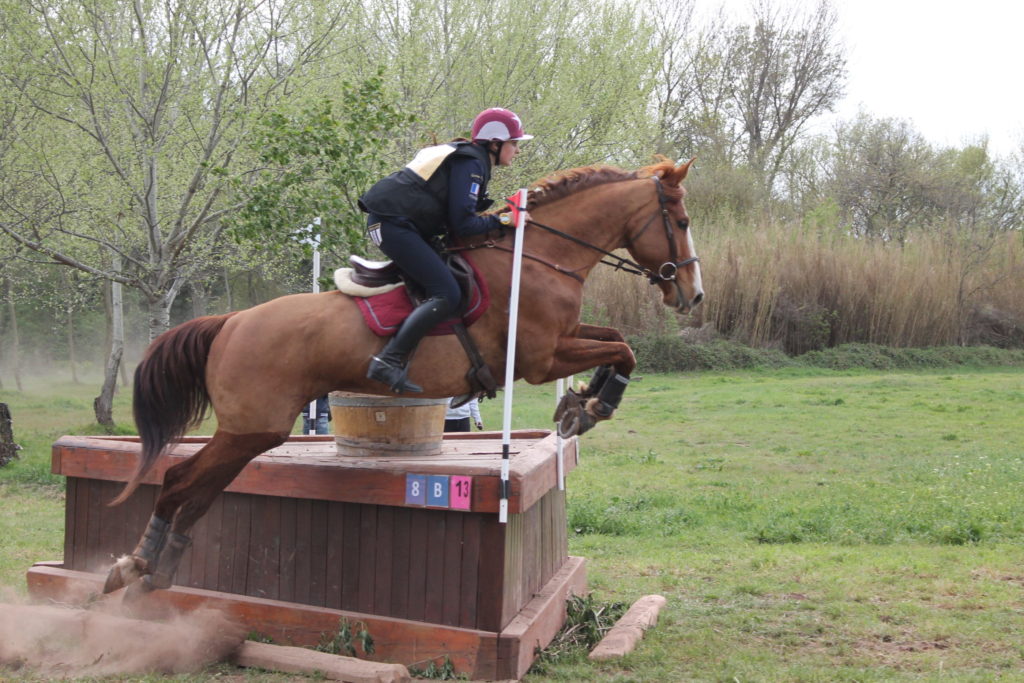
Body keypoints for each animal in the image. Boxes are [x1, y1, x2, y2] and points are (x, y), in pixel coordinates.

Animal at [103, 157, 704, 593]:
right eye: (681, 222)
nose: (692, 295)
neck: (541, 255)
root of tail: (229, 322)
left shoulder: (565, 341)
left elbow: (617, 343)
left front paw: (580, 404)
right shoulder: (541, 359)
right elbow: (624, 350)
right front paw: (593, 404)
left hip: (249, 433)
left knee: (197, 492)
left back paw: (154, 569)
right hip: (252, 429)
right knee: (181, 482)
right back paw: (136, 564)